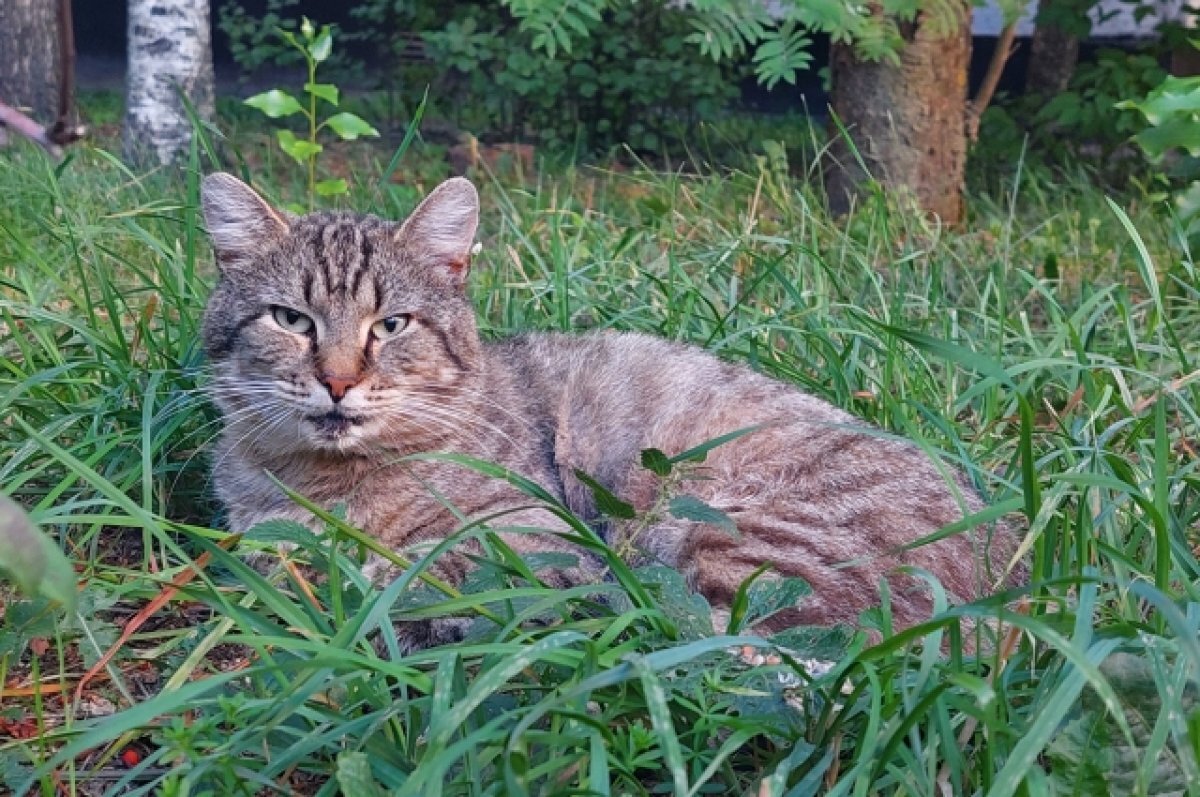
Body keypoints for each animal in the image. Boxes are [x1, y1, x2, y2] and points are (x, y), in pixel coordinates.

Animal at [199, 172, 1022, 648]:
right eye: (292, 320)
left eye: (391, 325)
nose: (337, 382)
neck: (328, 481)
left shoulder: (534, 540)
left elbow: (407, 568)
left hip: (722, 535)